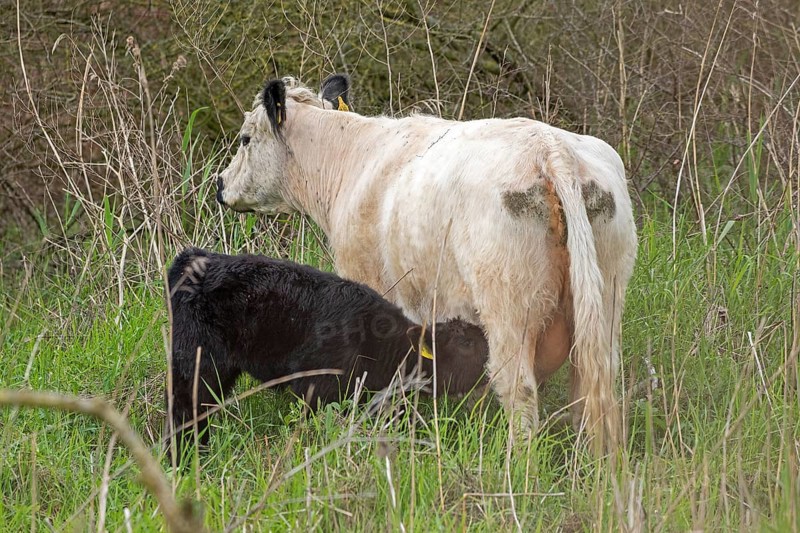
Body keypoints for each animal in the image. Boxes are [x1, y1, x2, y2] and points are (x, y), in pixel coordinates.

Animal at [167, 247, 489, 455]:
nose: (489, 365)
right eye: (466, 344)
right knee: (185, 409)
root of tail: (198, 258)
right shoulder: (315, 388)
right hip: (197, 360)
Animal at [215, 74, 637, 452]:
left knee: (519, 389)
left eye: (245, 138)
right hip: (605, 302)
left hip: (509, 305)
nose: (220, 184)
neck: (353, 159)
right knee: (593, 386)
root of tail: (551, 147)